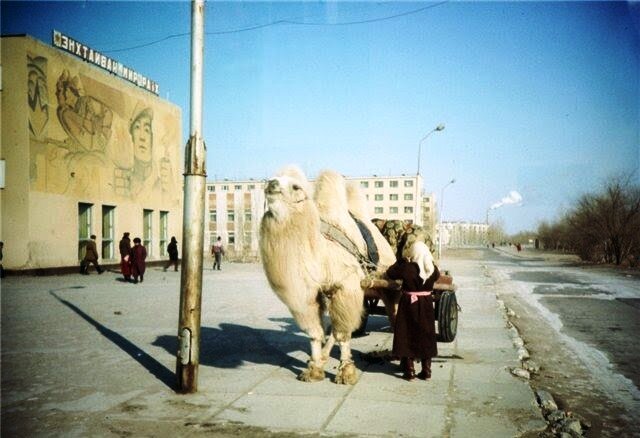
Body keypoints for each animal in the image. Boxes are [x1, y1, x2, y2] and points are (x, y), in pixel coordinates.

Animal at [258, 164, 396, 384]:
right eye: (272, 178)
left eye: (296, 186)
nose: (271, 184)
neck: (321, 253)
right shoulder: (310, 294)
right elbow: (315, 332)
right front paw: (314, 369)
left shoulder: (346, 286)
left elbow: (342, 334)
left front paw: (346, 373)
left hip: (388, 283)